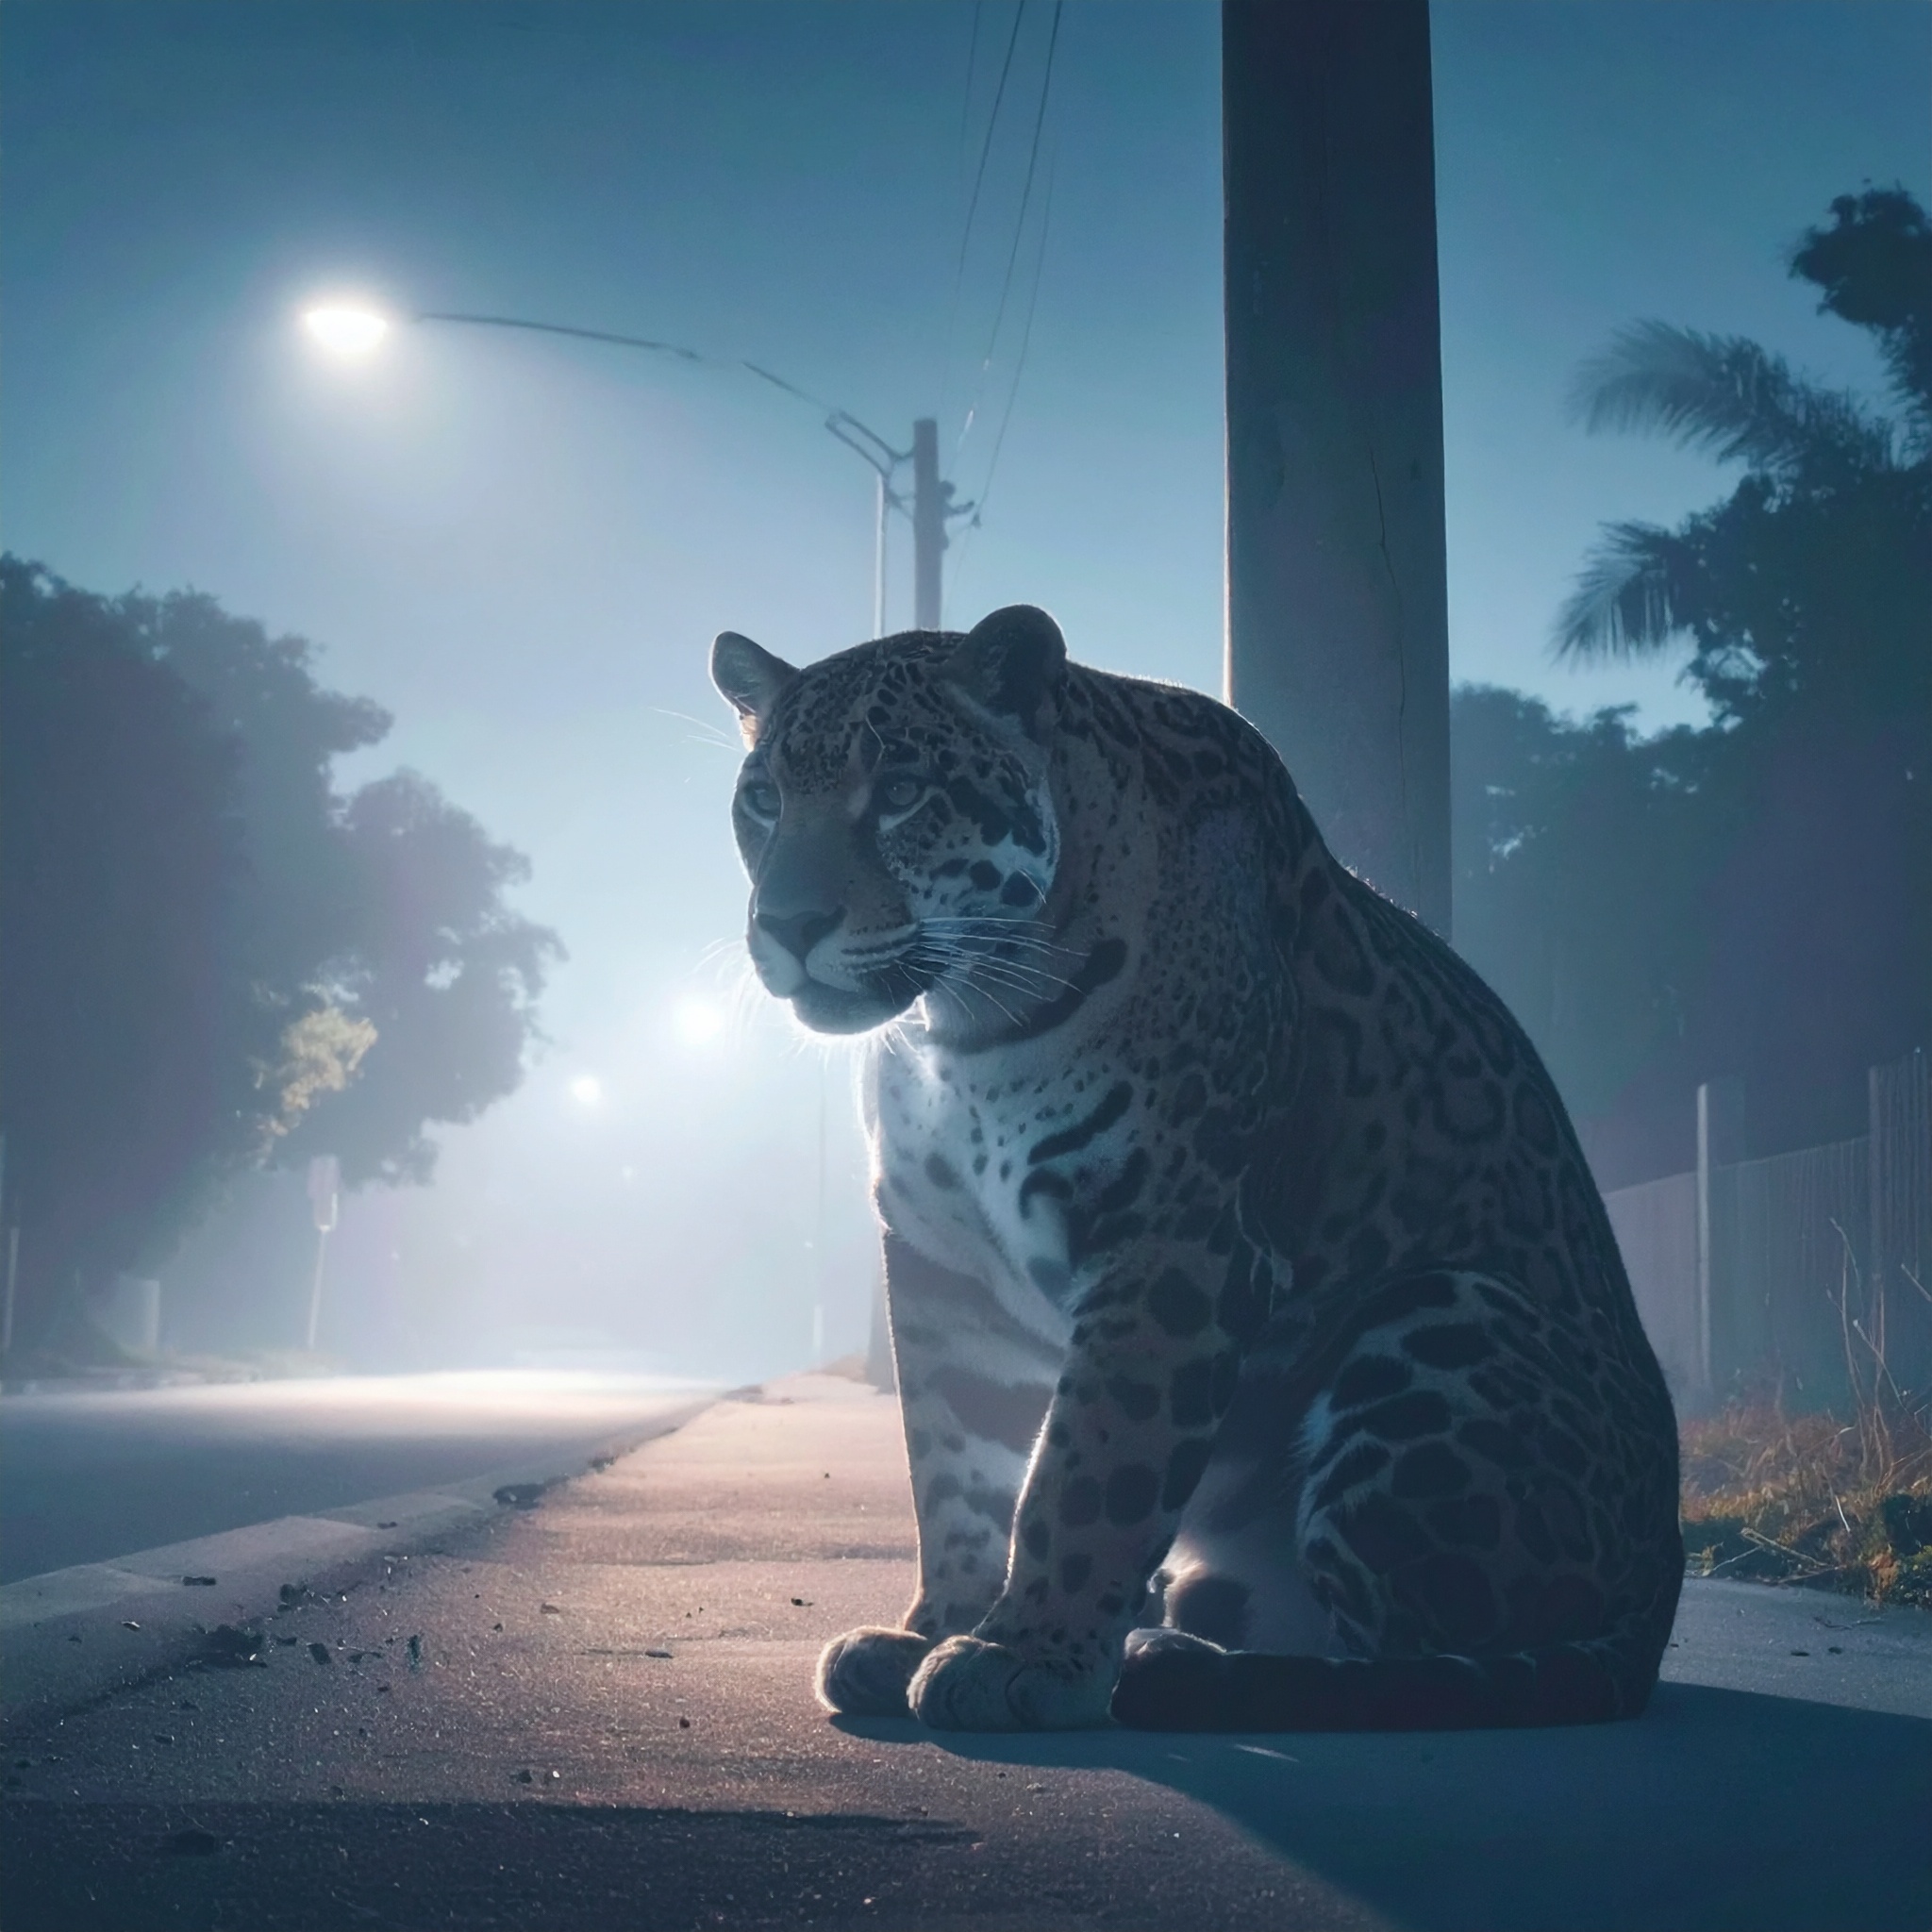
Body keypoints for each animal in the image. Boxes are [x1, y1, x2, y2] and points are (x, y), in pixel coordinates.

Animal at [711, 602, 1683, 1734]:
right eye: (764, 800)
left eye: (903, 791)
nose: (787, 923)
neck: (968, 1022)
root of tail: (1665, 1576)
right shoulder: (945, 1266)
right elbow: (958, 1468)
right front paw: (936, 1625)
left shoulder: (1176, 1238)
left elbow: (1089, 1466)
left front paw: (1023, 1656)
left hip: (1444, 1312)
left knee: (1413, 1657)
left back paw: (1174, 1660)